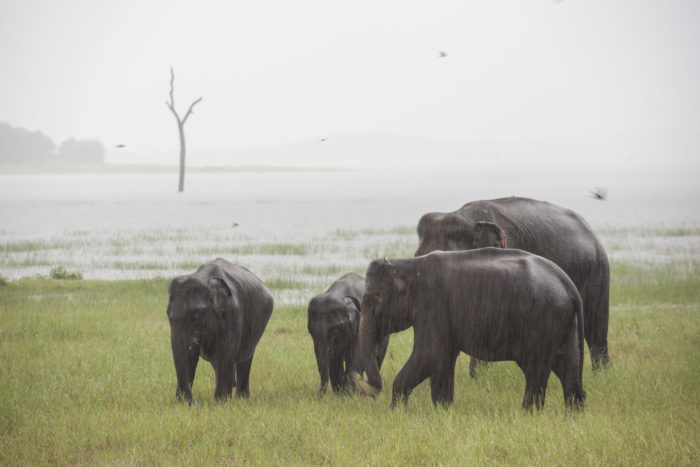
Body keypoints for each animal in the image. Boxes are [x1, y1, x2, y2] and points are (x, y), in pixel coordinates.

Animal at [165, 258, 272, 404]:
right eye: (168, 316)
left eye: (195, 316)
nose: (195, 403)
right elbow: (190, 355)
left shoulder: (233, 313)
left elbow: (225, 352)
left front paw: (222, 402)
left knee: (245, 359)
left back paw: (241, 399)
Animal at [360, 250, 584, 412]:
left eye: (375, 298)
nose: (373, 386)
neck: (409, 265)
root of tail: (569, 284)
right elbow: (443, 360)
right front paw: (443, 411)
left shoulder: (433, 305)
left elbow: (430, 355)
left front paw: (394, 412)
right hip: (564, 326)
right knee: (567, 366)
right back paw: (573, 414)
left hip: (543, 322)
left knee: (535, 370)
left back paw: (528, 413)